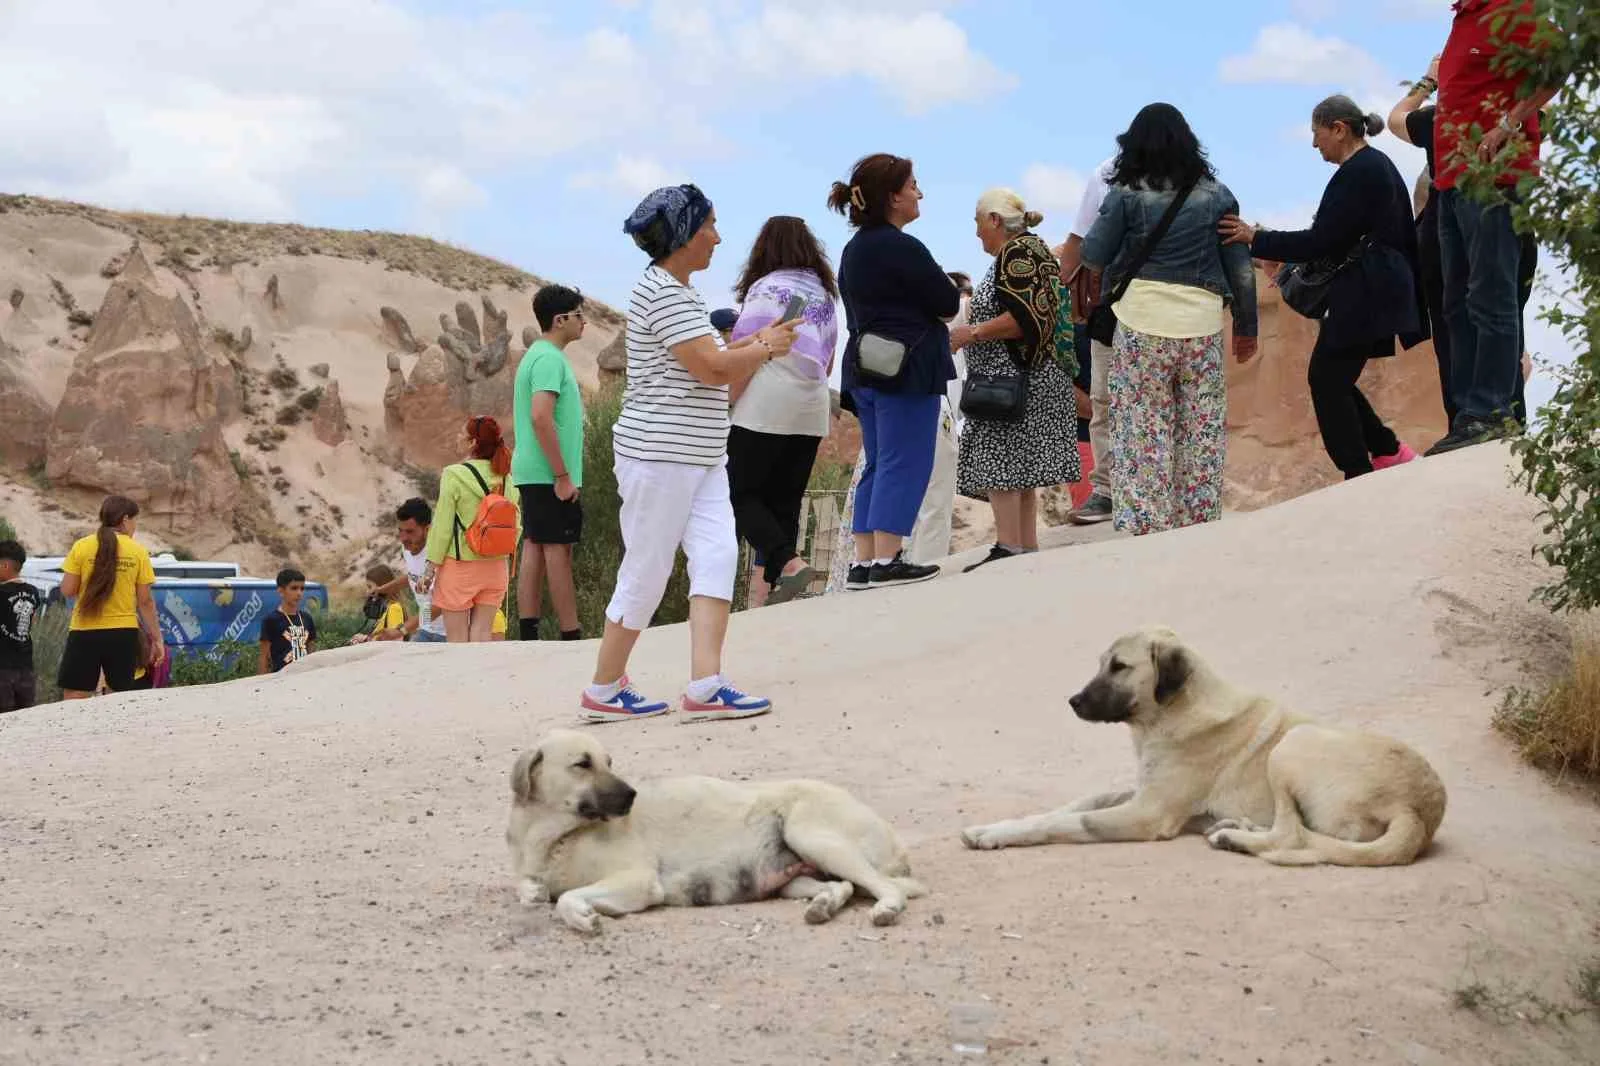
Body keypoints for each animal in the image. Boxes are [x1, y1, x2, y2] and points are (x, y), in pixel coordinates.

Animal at [499, 729, 928, 928]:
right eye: (583, 764)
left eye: (609, 761)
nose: (632, 796)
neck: (555, 836)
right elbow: (530, 890)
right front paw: (535, 892)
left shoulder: (638, 881)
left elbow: (568, 898)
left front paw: (581, 917)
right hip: (792, 877)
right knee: (842, 887)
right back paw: (823, 905)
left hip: (811, 836)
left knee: (885, 888)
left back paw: (886, 908)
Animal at [960, 624, 1452, 864]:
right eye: (1101, 663)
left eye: (1119, 666)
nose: (1073, 702)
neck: (1170, 714)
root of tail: (1418, 812)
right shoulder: (1141, 789)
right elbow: (1075, 804)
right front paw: (994, 825)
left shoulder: (1147, 813)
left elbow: (1067, 822)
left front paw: (998, 836)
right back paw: (1235, 828)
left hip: (1294, 743)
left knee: (1292, 835)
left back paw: (1234, 837)